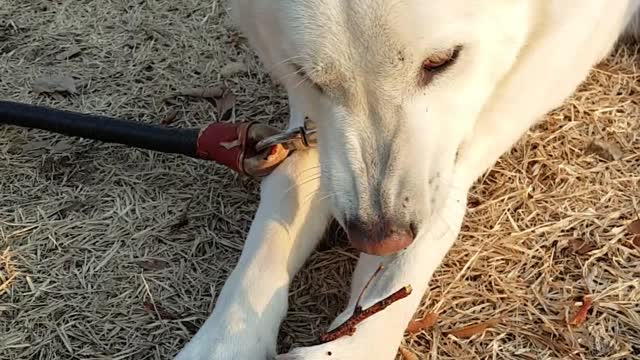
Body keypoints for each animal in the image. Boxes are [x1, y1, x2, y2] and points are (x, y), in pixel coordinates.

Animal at [175, 1, 640, 358]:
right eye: (310, 77)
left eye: (442, 60)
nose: (379, 237)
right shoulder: (310, 133)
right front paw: (223, 341)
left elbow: (422, 239)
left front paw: (349, 347)